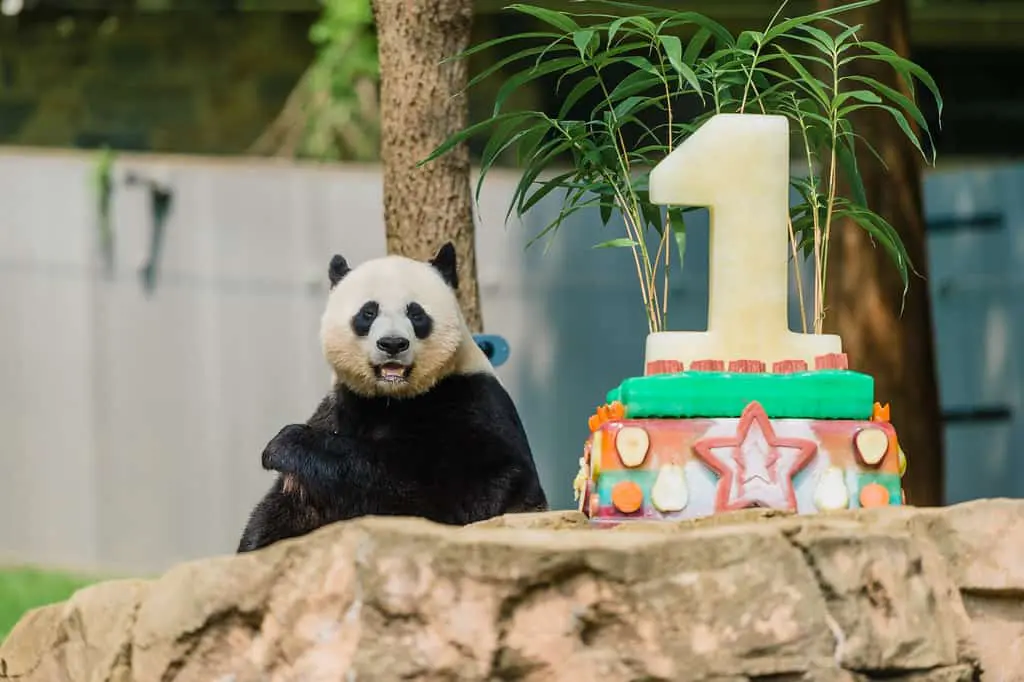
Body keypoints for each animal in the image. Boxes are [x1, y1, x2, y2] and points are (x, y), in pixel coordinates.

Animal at [235, 241, 548, 548]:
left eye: (416, 313)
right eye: (368, 312)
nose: (393, 343)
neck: (392, 398)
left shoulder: (472, 404)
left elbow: (458, 487)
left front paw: (288, 445)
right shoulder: (342, 406)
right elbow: (279, 515)